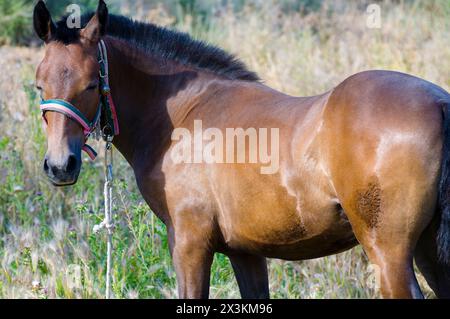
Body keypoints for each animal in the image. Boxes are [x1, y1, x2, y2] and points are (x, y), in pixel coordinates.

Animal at [32, 0, 450, 300]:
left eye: (91, 84)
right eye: (39, 85)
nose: (60, 166)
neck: (182, 114)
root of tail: (440, 103)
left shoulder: (189, 243)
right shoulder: (245, 251)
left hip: (389, 254)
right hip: (428, 252)